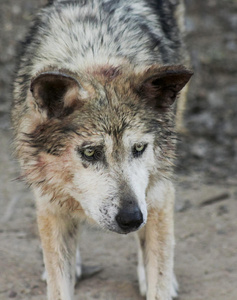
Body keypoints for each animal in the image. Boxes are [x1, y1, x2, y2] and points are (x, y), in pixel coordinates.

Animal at [11, 0, 193, 298]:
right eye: (89, 152)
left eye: (139, 148)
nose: (131, 219)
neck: (97, 55)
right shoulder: (49, 203)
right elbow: (58, 283)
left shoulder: (158, 192)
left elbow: (159, 274)